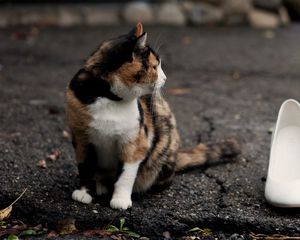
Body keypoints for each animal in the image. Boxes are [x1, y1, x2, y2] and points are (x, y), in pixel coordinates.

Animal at [65, 23, 239, 210]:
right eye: (155, 67)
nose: (165, 78)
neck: (110, 98)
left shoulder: (136, 142)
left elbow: (125, 175)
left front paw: (121, 200)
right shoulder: (81, 138)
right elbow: (85, 167)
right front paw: (84, 193)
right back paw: (101, 186)